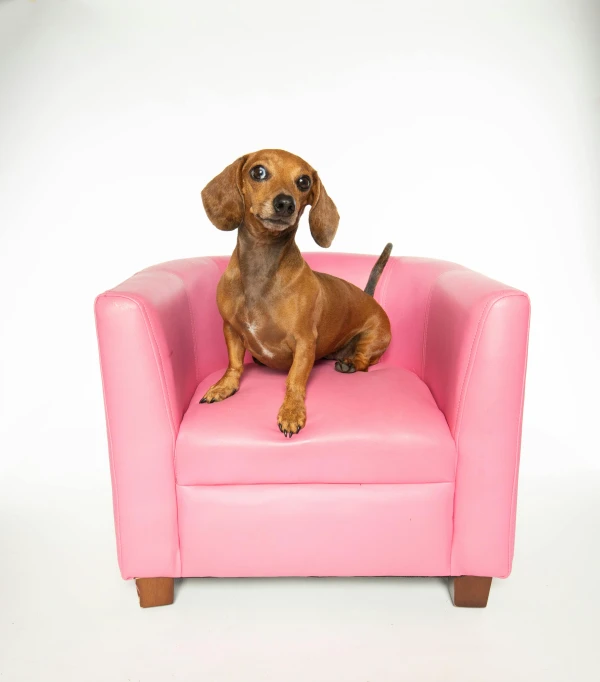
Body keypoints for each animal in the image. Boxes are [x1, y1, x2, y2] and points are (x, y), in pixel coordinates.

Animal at [199, 149, 392, 436]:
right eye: (258, 172)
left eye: (304, 181)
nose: (285, 204)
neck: (262, 265)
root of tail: (369, 296)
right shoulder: (230, 329)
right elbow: (234, 364)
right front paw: (224, 387)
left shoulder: (304, 343)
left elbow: (295, 380)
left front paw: (291, 411)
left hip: (372, 339)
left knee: (365, 362)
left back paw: (349, 363)